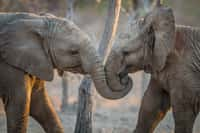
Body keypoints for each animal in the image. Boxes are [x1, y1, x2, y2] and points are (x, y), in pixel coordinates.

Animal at [0, 11, 130, 133]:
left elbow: (39, 103)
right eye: (73, 52)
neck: (37, 21)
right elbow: (20, 104)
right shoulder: (9, 66)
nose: (124, 77)